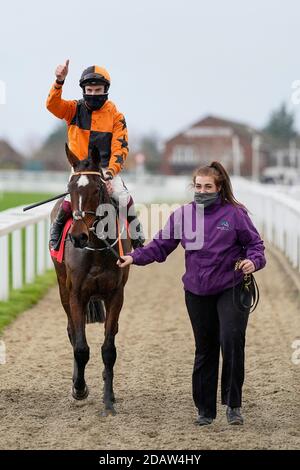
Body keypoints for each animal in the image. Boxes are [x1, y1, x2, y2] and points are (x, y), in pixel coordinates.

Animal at [50, 144, 130, 414]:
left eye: (96, 189)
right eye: (71, 189)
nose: (78, 236)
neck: (95, 248)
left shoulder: (116, 294)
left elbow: (109, 348)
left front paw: (109, 399)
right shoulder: (76, 294)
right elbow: (81, 347)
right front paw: (79, 388)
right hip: (62, 288)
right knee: (72, 332)